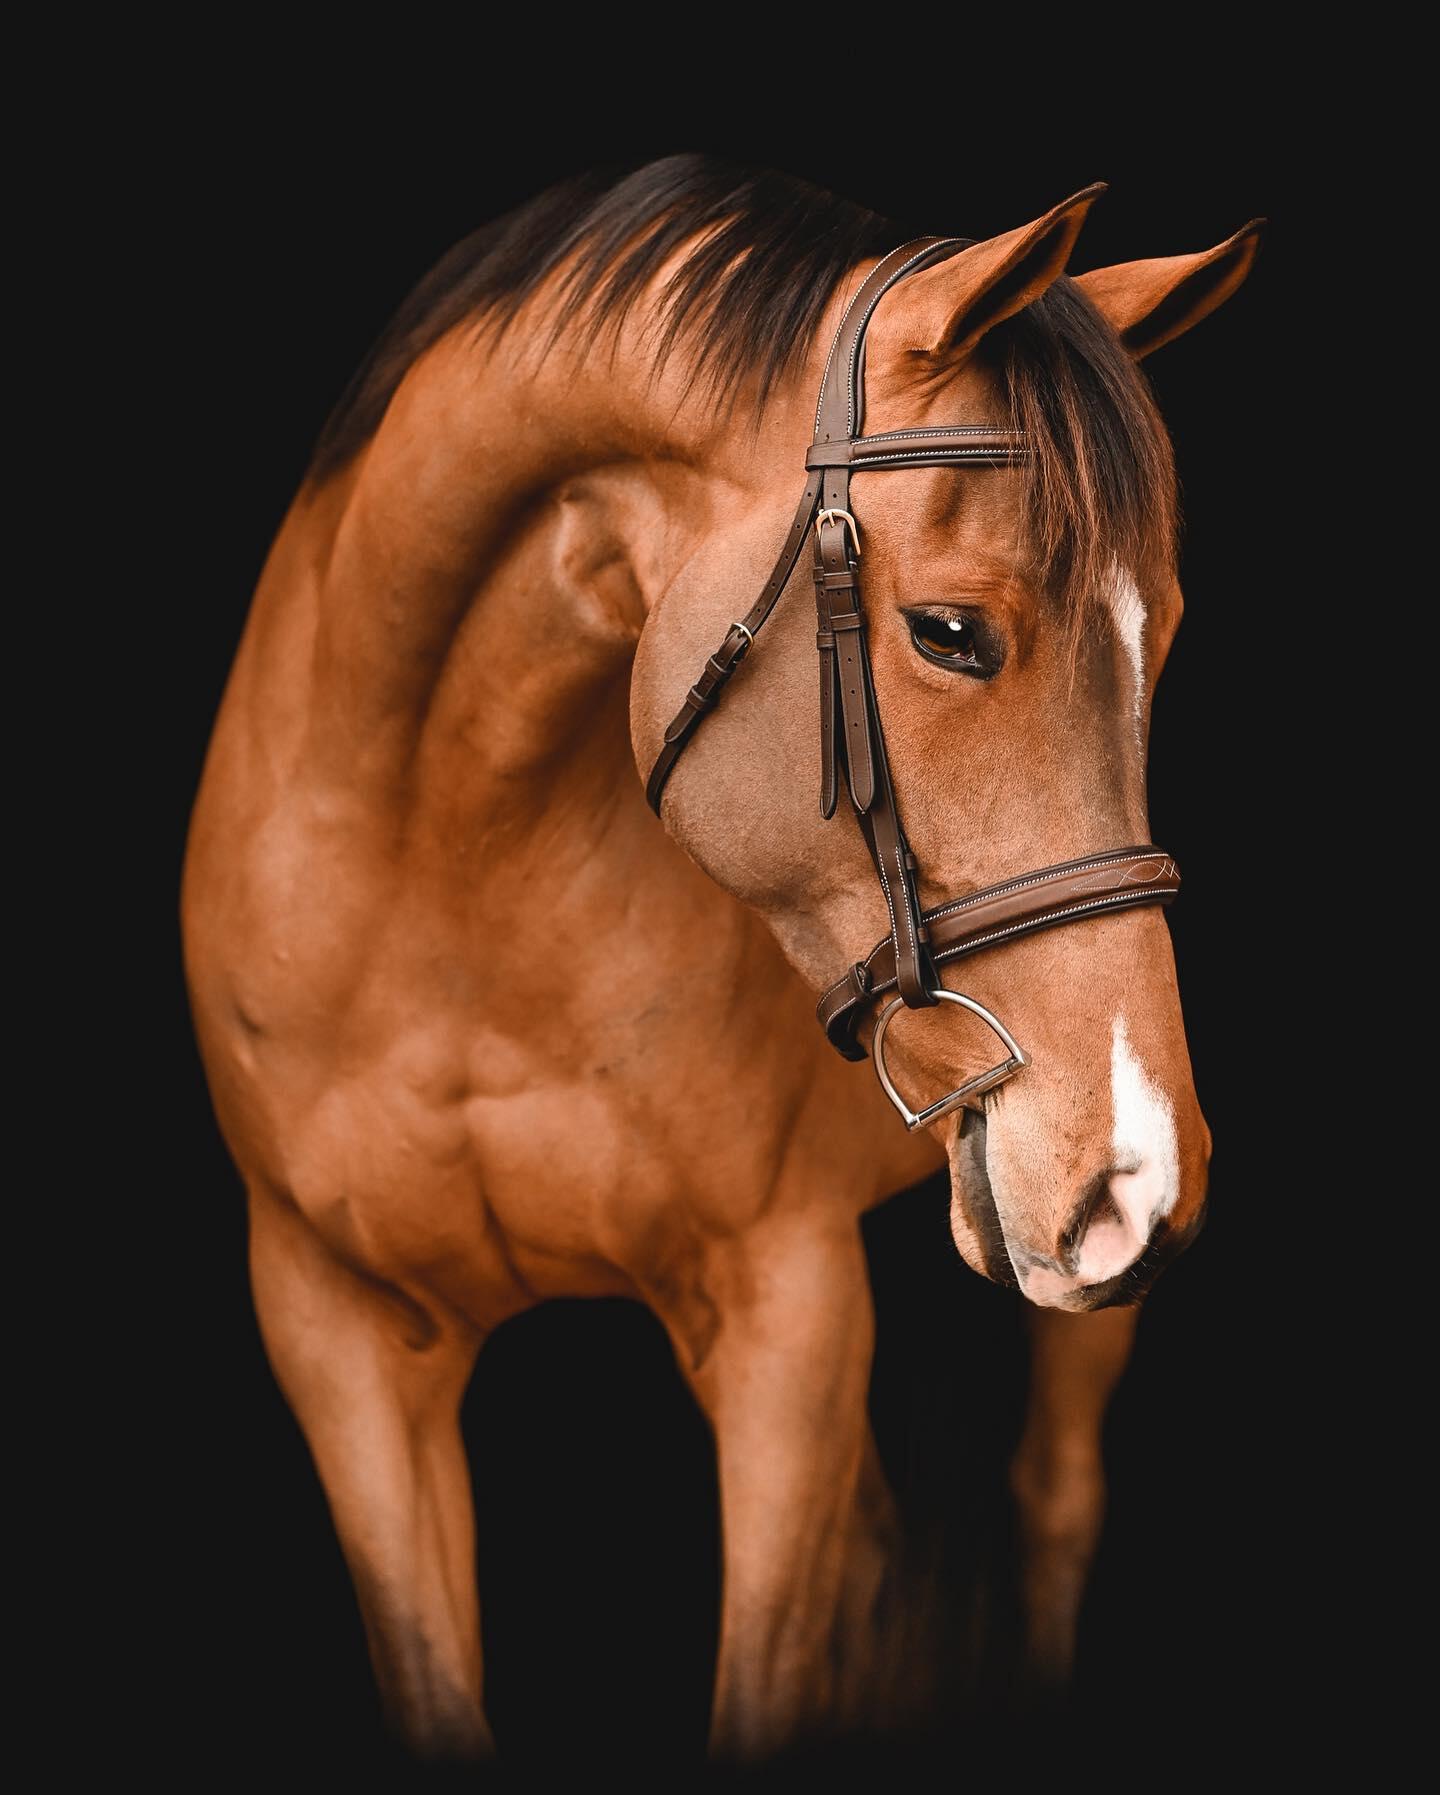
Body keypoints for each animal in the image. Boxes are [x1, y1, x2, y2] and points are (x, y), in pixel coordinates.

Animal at [180, 155, 1261, 1762]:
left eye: (1166, 638)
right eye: (952, 632)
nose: (1136, 1169)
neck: (443, 885)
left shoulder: (787, 1315)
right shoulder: (339, 1334)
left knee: (1056, 1501)